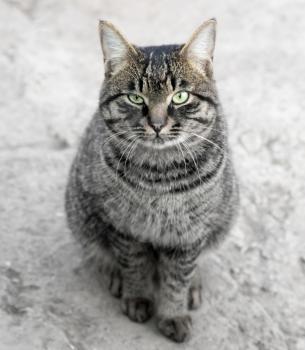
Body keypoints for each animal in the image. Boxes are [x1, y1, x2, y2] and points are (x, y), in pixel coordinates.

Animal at [65, 18, 239, 342]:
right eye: (135, 98)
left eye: (180, 97)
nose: (157, 124)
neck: (160, 175)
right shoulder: (125, 227)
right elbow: (135, 266)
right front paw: (137, 297)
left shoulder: (189, 235)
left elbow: (176, 279)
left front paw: (173, 313)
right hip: (82, 215)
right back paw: (113, 274)